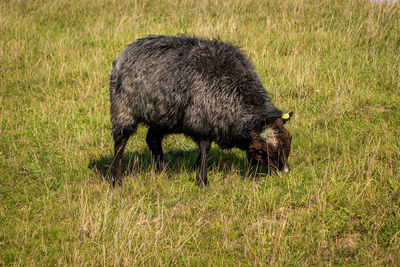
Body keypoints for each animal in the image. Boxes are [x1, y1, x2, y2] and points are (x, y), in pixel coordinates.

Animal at [108, 35, 290, 186]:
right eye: (260, 150)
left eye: (287, 141)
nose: (285, 171)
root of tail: (125, 52)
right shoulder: (200, 119)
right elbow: (205, 147)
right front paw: (202, 180)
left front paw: (197, 169)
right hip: (123, 108)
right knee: (120, 143)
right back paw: (117, 180)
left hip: (164, 115)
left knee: (152, 138)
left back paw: (165, 171)